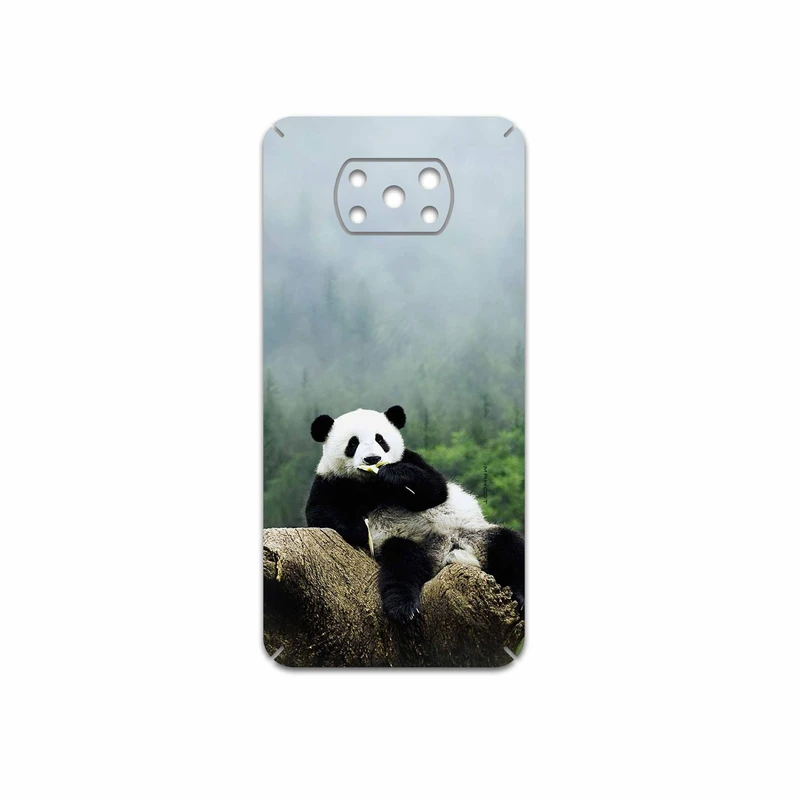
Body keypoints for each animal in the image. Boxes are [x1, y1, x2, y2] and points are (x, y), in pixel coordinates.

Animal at [305, 405, 524, 623]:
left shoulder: (411, 459)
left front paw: (394, 474)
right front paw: (360, 529)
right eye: (353, 443)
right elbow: (320, 513)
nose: (373, 459)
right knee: (402, 564)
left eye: (380, 439)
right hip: (410, 543)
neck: (372, 484)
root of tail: (447, 552)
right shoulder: (331, 480)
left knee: (509, 546)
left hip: (474, 534)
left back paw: (521, 596)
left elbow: (435, 489)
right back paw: (403, 607)